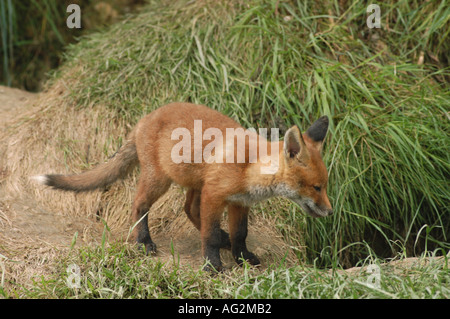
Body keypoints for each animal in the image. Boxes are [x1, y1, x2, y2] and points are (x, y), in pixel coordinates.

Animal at [33, 103, 332, 272]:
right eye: (316, 187)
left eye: (325, 186)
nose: (330, 212)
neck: (249, 167)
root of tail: (144, 118)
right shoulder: (214, 195)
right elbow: (209, 236)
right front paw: (213, 265)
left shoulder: (239, 202)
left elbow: (241, 234)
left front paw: (242, 258)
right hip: (160, 180)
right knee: (139, 204)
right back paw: (143, 241)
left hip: (194, 181)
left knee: (188, 209)